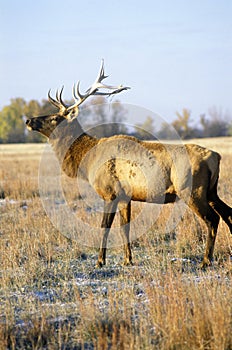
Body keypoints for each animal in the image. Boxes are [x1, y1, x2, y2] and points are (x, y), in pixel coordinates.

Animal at [25, 60, 232, 268]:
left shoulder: (109, 192)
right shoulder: (125, 196)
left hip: (191, 189)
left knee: (213, 219)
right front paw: (127, 259)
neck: (87, 160)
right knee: (228, 213)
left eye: (55, 118)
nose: (28, 120)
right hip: (210, 191)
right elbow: (125, 227)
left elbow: (105, 226)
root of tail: (216, 157)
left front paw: (100, 261)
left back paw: (205, 261)